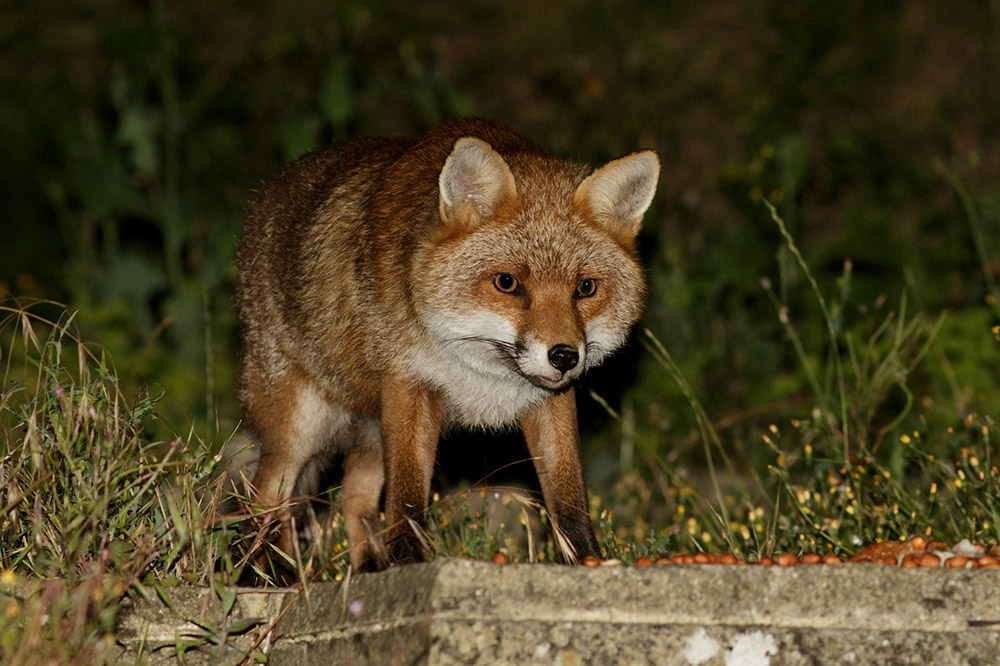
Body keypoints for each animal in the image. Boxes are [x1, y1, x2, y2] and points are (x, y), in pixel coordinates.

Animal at [236, 117, 658, 573]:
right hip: (299, 426)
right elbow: (407, 498)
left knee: (353, 500)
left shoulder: (550, 399)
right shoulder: (409, 383)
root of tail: (266, 191)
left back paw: (365, 568)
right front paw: (407, 564)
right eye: (507, 282)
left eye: (585, 288)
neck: (480, 373)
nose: (564, 356)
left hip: (370, 435)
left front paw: (586, 560)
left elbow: (569, 498)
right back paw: (273, 575)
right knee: (264, 500)